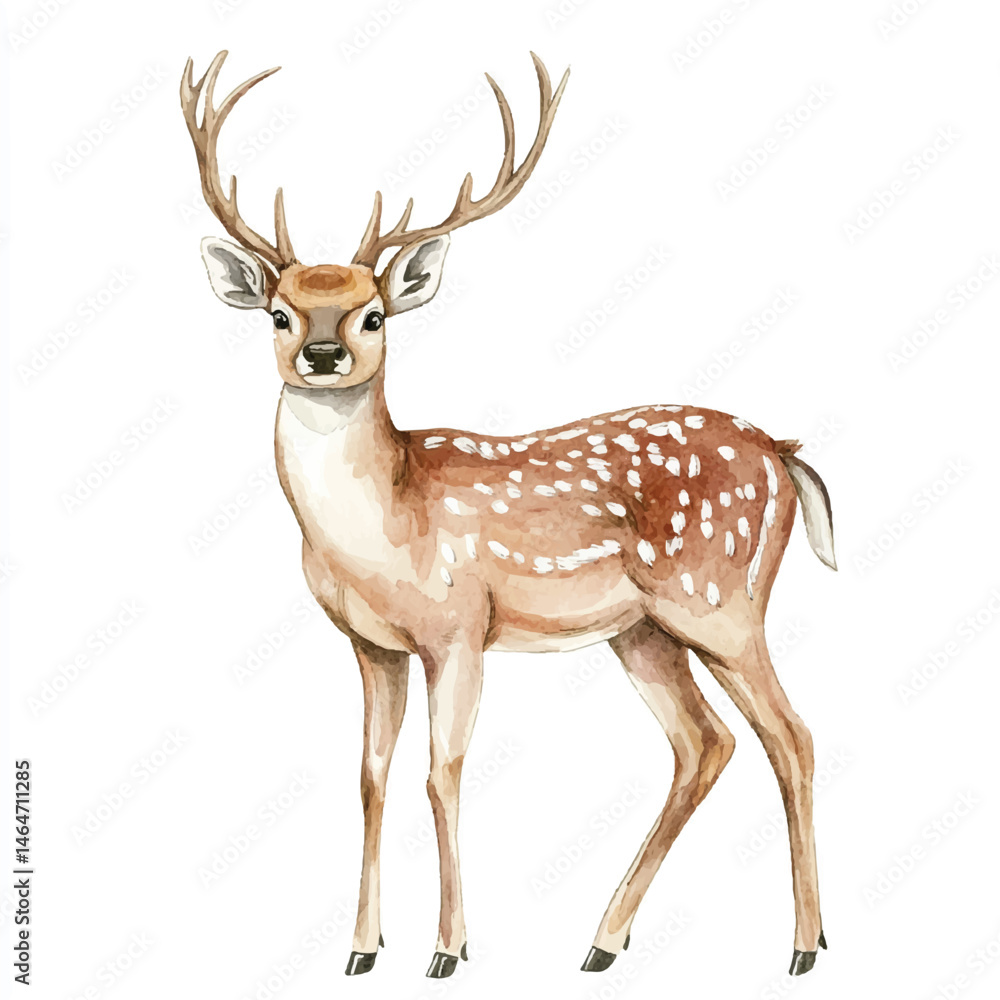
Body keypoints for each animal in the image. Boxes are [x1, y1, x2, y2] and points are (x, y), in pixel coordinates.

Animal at [181, 50, 837, 981]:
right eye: (279, 312)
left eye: (374, 313)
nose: (323, 352)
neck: (386, 531)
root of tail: (783, 452)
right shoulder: (371, 645)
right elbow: (371, 778)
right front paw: (361, 949)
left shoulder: (460, 626)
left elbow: (442, 772)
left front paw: (449, 950)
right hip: (643, 631)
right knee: (705, 743)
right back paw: (603, 941)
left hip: (723, 598)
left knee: (793, 734)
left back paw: (805, 945)